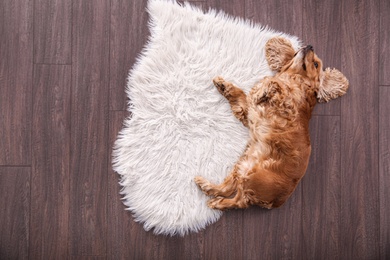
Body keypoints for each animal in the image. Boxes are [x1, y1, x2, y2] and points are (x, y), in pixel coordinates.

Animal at [193, 36, 348, 210]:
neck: (293, 78)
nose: (310, 45)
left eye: (315, 64)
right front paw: (224, 85)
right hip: (242, 166)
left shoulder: (287, 107)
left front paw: (264, 89)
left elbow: (274, 84)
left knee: (238, 200)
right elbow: (241, 94)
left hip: (252, 178)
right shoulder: (249, 112)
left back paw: (216, 202)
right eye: (297, 51)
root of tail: (275, 202)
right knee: (227, 188)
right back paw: (206, 185)